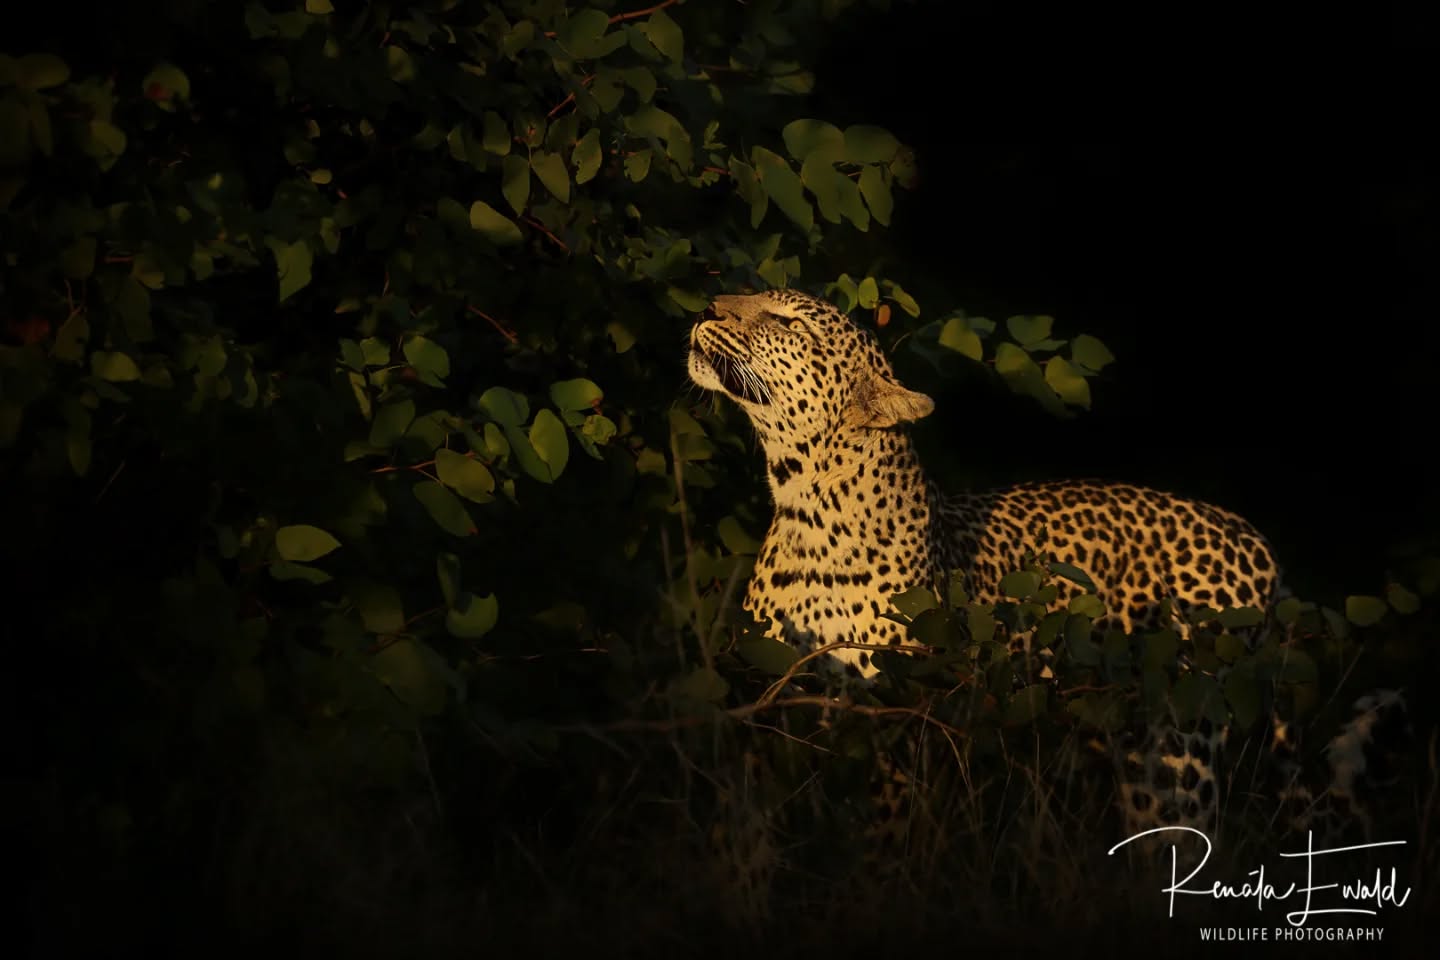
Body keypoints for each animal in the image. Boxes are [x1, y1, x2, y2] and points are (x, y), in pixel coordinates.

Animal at [687, 288, 1408, 855]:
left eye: (786, 320)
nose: (707, 306)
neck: (805, 511)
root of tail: (1257, 541)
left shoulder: (897, 721)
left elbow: (884, 849)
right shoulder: (760, 706)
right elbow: (740, 834)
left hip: (1180, 744)